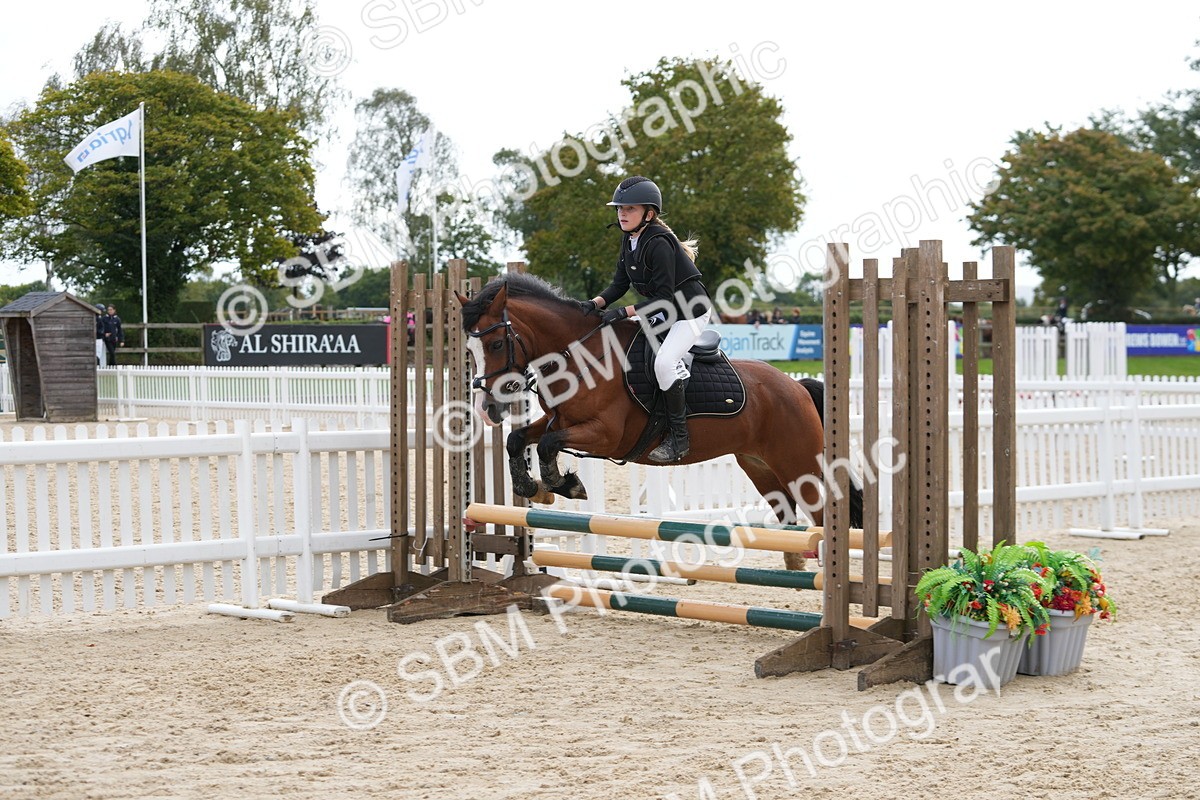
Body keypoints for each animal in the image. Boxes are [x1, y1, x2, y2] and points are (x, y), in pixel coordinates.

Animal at [456, 273, 862, 570]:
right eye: (469, 350)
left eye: (496, 345)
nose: (486, 407)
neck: (581, 356)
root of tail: (796, 386)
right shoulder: (560, 420)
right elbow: (520, 440)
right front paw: (536, 488)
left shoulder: (606, 434)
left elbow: (548, 444)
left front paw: (563, 484)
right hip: (761, 468)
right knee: (789, 515)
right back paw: (796, 561)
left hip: (800, 465)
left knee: (822, 514)